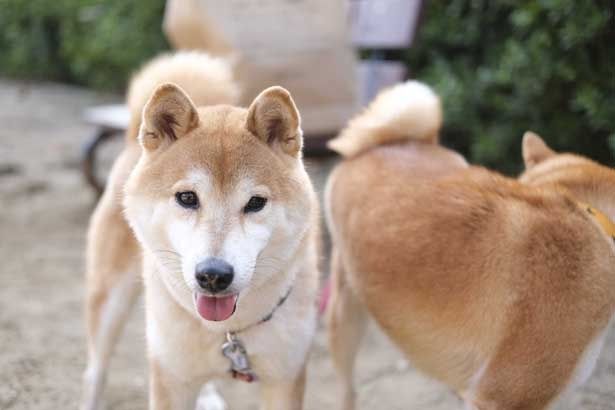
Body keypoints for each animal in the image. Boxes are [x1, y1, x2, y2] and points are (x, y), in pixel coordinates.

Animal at [82, 52, 320, 410]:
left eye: (255, 203)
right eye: (187, 198)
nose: (213, 275)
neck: (231, 332)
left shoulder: (285, 377)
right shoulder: (170, 378)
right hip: (110, 297)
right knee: (96, 368)